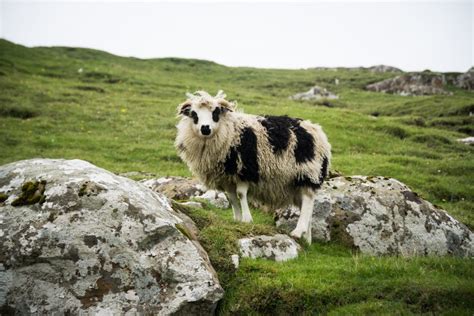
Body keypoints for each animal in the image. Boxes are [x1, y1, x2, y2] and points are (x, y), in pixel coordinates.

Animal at [174, 90, 330, 243]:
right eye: (194, 114)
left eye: (216, 112)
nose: (205, 128)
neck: (230, 131)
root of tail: (318, 130)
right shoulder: (227, 177)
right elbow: (232, 197)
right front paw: (237, 219)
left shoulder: (245, 170)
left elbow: (241, 194)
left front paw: (246, 219)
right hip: (295, 183)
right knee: (306, 204)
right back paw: (307, 239)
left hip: (309, 172)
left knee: (308, 200)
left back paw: (298, 232)